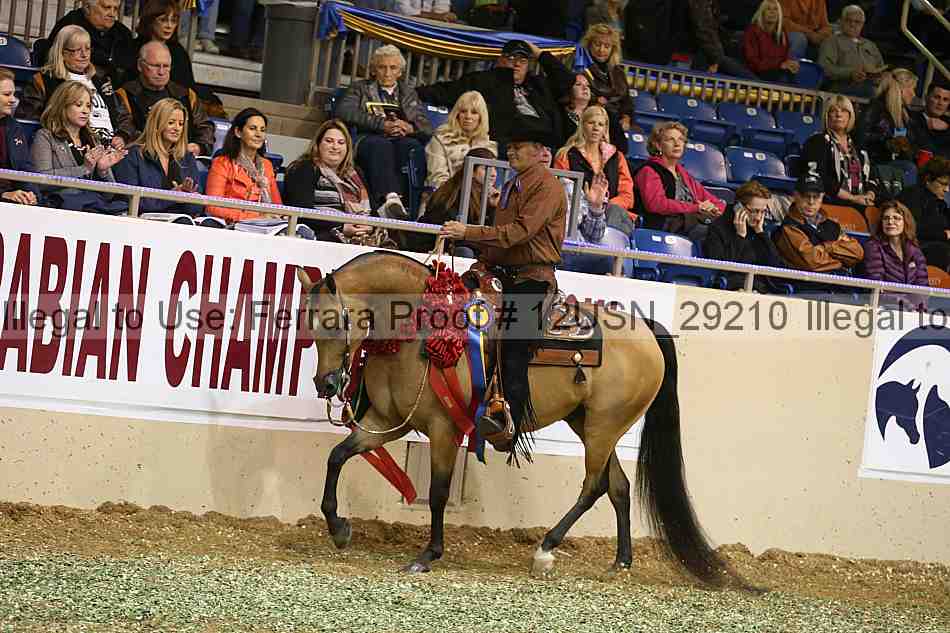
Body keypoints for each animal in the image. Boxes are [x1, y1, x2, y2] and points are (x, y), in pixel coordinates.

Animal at [298, 250, 730, 585]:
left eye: (335, 321)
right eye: (305, 322)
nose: (326, 383)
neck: (420, 335)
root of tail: (648, 332)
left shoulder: (444, 429)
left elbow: (437, 492)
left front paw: (428, 555)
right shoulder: (387, 422)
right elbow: (337, 456)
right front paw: (338, 529)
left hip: (604, 426)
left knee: (593, 486)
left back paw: (545, 549)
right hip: (590, 423)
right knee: (618, 486)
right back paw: (620, 562)